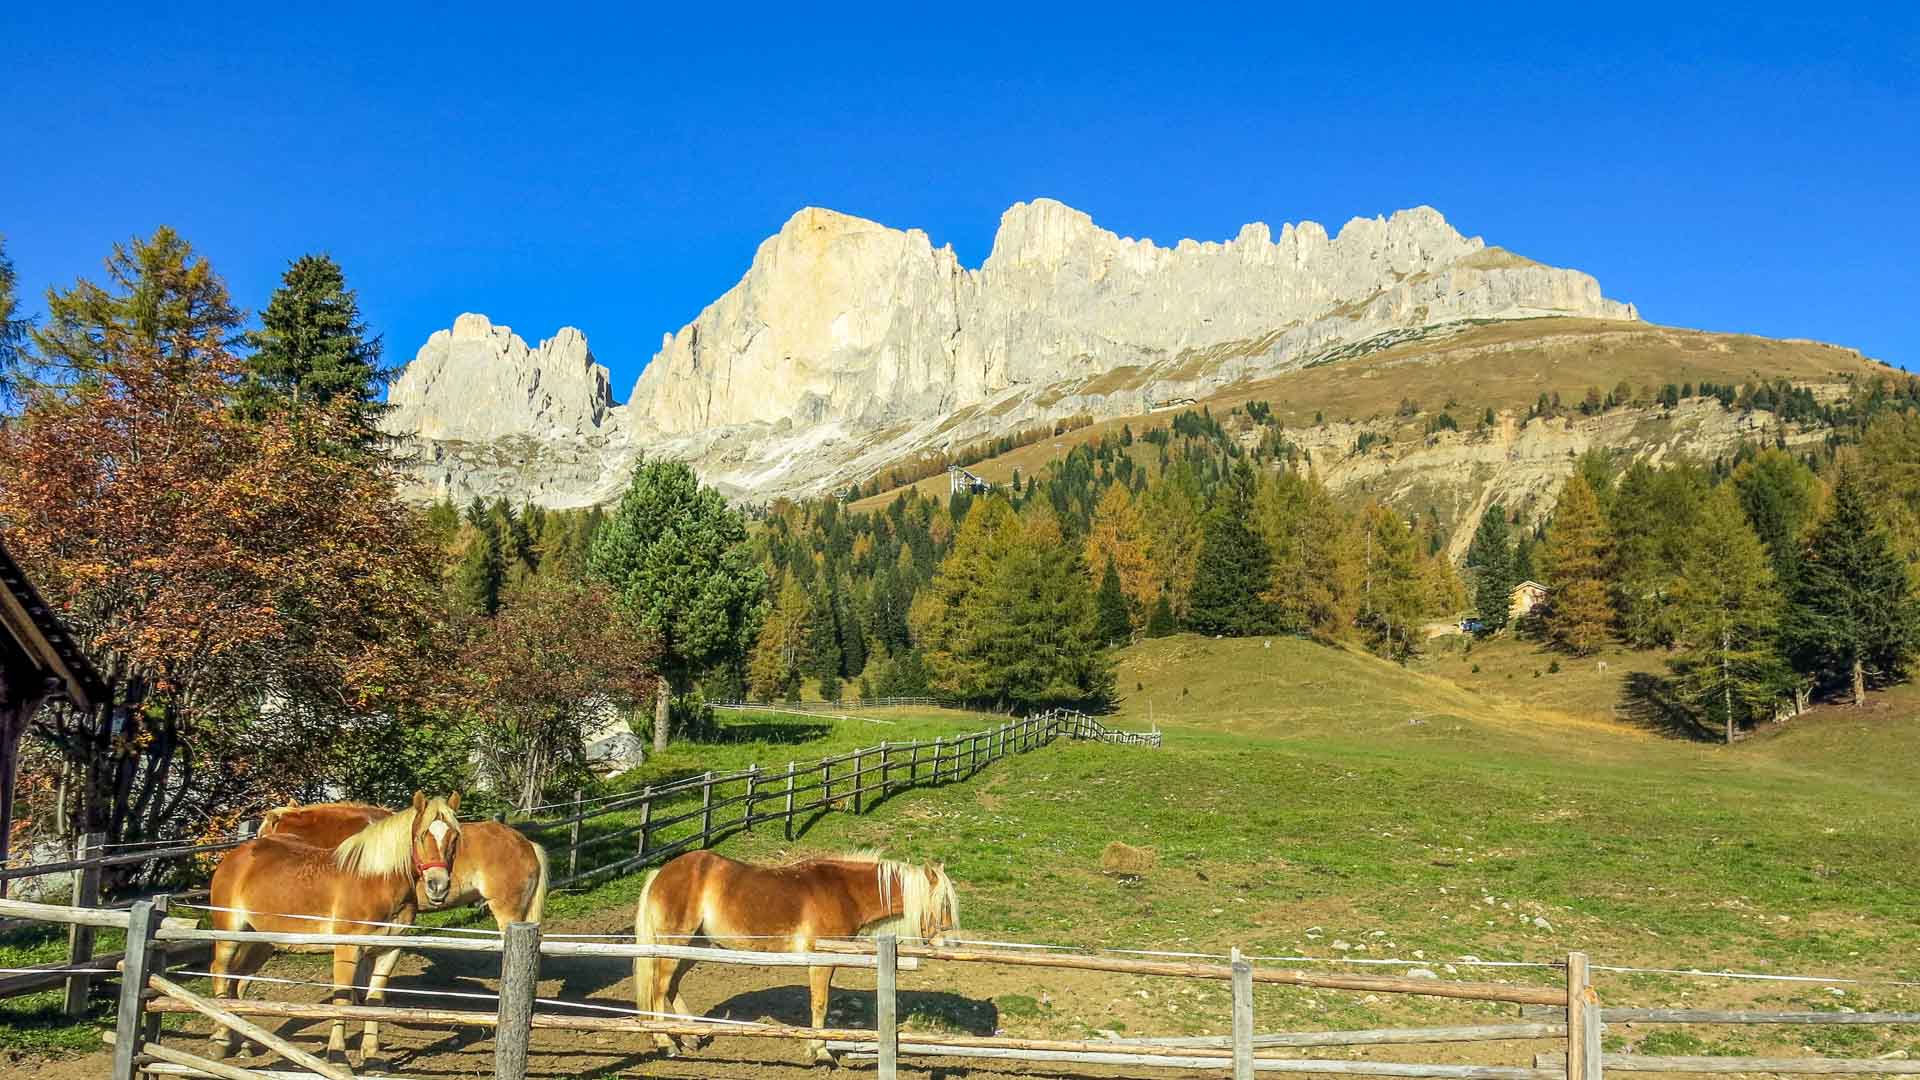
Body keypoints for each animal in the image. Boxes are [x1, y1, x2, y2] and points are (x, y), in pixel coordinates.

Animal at [208, 791, 463, 1066]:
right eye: (420, 836)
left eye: (455, 837)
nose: (438, 886)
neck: (375, 882)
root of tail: (236, 855)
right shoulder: (348, 949)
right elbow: (342, 1000)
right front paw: (338, 1057)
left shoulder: (389, 951)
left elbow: (375, 1000)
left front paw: (371, 1057)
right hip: (230, 936)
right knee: (220, 972)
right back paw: (221, 1041)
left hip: (261, 942)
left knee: (240, 981)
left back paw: (244, 1043)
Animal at [633, 850, 959, 1064]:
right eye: (943, 903)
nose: (953, 942)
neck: (843, 891)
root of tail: (661, 873)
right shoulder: (821, 962)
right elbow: (820, 1004)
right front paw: (820, 1051)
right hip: (675, 944)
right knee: (659, 988)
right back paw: (666, 1041)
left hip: (693, 947)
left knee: (671, 986)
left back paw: (690, 1035)